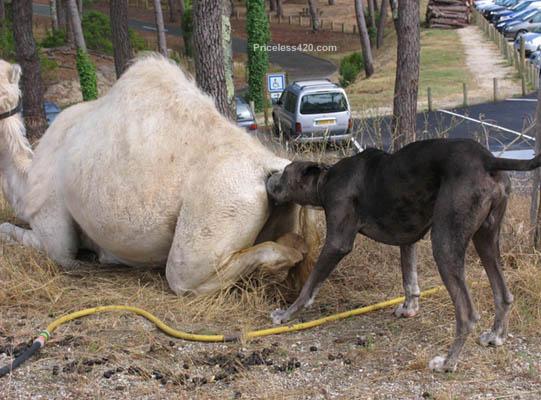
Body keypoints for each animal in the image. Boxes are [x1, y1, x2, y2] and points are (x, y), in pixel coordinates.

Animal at [266, 138, 540, 372]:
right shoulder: (408, 239)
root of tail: (488, 159)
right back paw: (496, 336)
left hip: (445, 244)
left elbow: (310, 285)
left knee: (467, 314)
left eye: (285, 171)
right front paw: (409, 308)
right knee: (504, 294)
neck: (325, 179)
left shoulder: (337, 242)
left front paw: (287, 314)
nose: (269, 177)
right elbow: (409, 280)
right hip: (486, 238)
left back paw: (447, 363)